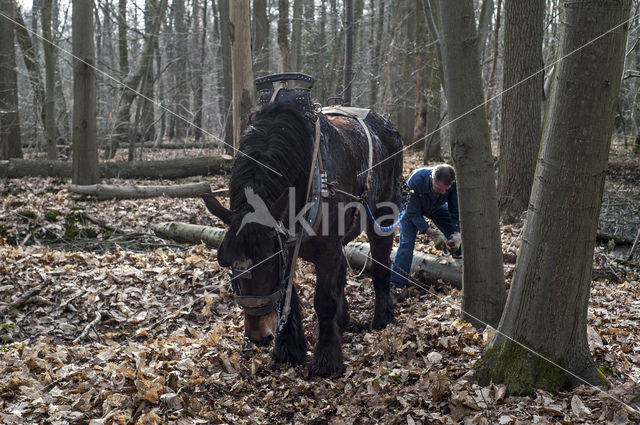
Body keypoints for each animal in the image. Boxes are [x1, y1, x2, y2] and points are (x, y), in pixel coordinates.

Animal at [202, 99, 402, 374]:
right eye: (230, 264)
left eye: (270, 263)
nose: (258, 335)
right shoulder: (288, 245)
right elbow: (289, 294)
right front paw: (289, 348)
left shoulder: (324, 248)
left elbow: (324, 301)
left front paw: (327, 358)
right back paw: (344, 319)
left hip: (383, 217)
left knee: (381, 264)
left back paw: (383, 317)